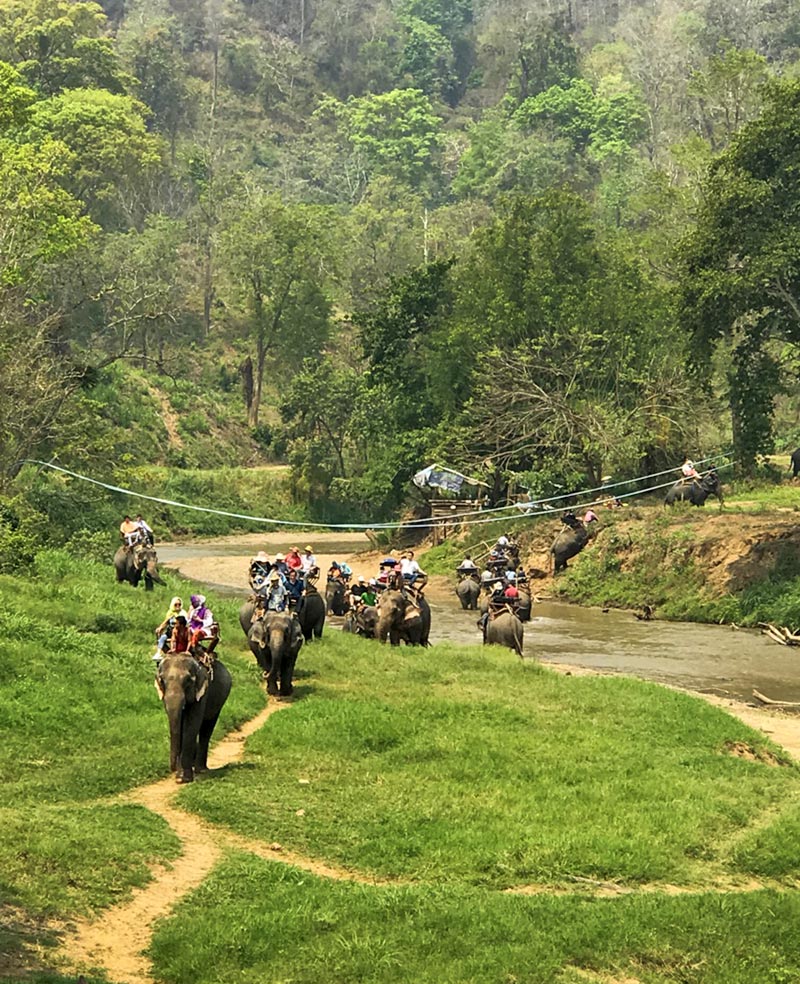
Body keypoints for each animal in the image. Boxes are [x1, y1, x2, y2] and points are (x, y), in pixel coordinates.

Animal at [155, 652, 231, 784]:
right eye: (162, 680)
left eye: (188, 680)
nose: (172, 768)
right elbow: (179, 724)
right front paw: (179, 777)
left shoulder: (203, 692)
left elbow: (191, 725)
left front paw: (183, 778)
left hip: (219, 701)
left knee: (207, 729)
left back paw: (201, 770)